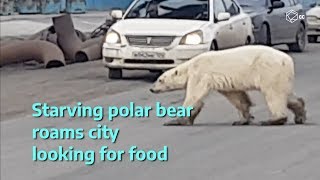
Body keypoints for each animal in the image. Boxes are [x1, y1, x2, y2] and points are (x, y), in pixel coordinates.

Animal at [151, 45, 306, 126]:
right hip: (281, 74)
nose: (152, 89)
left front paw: (174, 121)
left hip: (269, 70)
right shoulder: (224, 82)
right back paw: (300, 114)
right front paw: (242, 120)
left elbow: (194, 95)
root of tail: (288, 59)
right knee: (286, 94)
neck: (190, 66)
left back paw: (274, 120)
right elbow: (237, 97)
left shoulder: (200, 73)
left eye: (160, 80)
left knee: (273, 94)